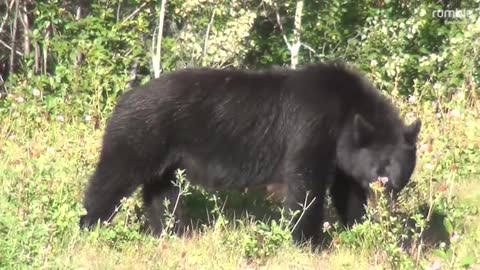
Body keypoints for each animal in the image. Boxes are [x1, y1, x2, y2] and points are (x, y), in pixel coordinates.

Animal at [79, 62, 420, 246]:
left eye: (403, 167)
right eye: (383, 165)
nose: (391, 187)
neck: (345, 112)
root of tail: (122, 101)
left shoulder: (342, 154)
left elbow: (347, 189)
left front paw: (358, 229)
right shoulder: (311, 127)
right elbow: (305, 184)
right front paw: (308, 241)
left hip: (167, 157)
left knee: (162, 193)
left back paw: (172, 231)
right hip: (141, 135)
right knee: (113, 176)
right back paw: (87, 224)